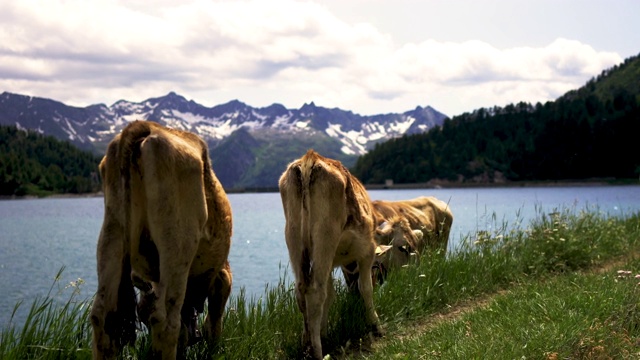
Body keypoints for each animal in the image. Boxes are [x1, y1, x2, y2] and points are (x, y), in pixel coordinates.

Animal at [89, 121, 231, 360]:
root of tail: (147, 126)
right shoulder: (222, 275)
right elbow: (213, 322)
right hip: (177, 242)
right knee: (166, 321)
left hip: (111, 233)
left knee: (102, 314)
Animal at [278, 150, 380, 360]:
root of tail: (310, 157)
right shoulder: (367, 251)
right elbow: (365, 287)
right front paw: (375, 324)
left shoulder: (332, 262)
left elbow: (330, 294)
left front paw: (324, 332)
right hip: (326, 234)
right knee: (315, 291)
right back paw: (317, 351)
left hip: (293, 236)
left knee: (302, 291)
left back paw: (307, 342)